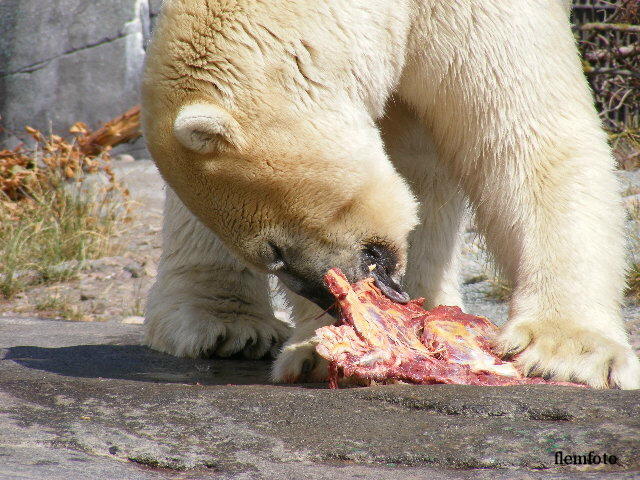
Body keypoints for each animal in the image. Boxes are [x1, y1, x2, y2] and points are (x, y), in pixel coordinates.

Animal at [142, 0, 640, 390]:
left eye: (275, 251)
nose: (329, 301)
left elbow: (525, 135)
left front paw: (566, 354)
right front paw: (319, 352)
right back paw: (224, 325)